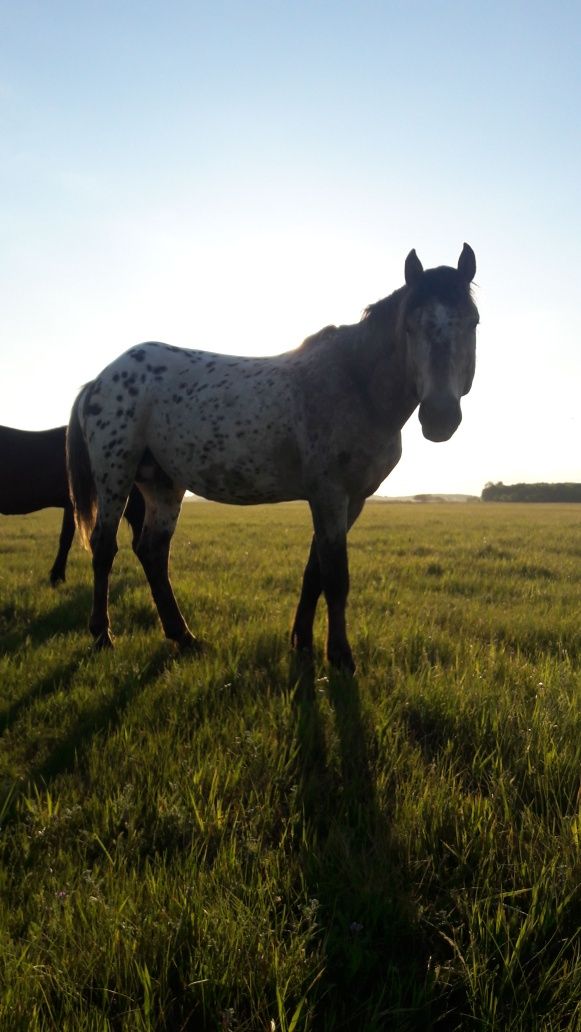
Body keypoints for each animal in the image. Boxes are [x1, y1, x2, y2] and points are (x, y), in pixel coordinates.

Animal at [67, 244, 476, 672]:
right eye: (410, 327)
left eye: (473, 323)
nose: (440, 416)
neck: (356, 384)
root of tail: (100, 379)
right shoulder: (330, 495)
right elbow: (336, 577)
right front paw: (340, 657)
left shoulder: (352, 500)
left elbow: (314, 571)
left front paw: (302, 642)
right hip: (116, 476)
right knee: (104, 547)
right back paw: (102, 636)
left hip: (162, 484)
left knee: (153, 552)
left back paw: (184, 637)